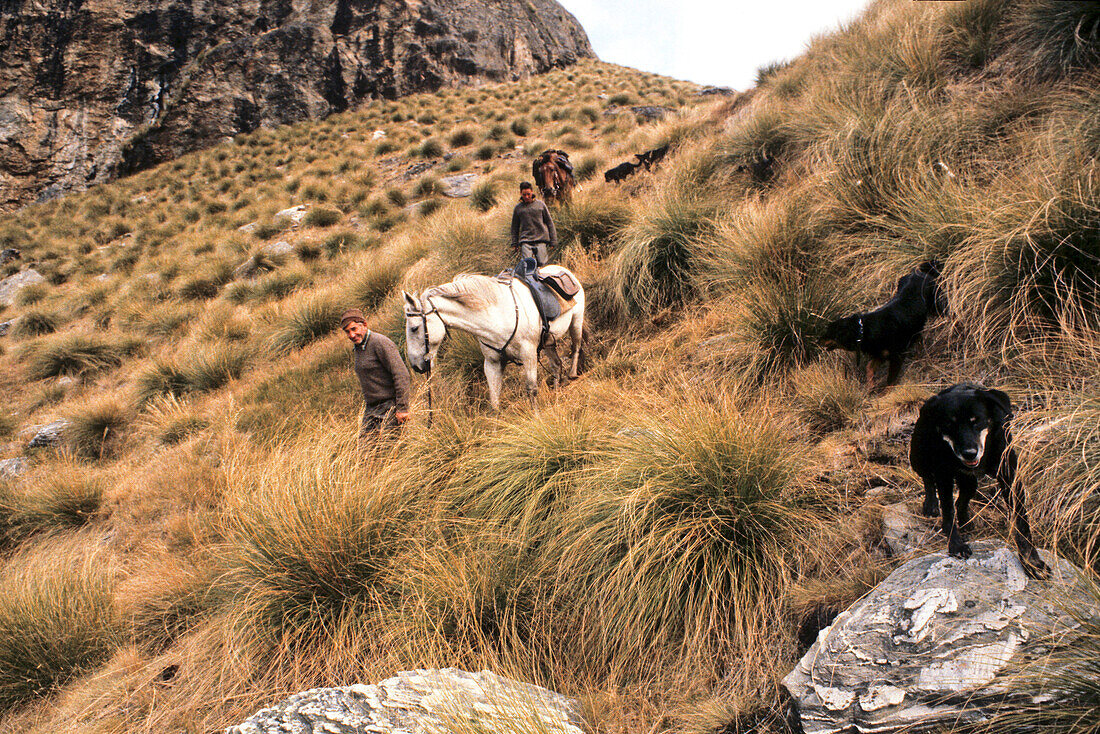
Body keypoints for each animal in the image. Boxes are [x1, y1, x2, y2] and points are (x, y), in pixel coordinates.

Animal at [402, 267, 585, 411]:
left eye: (414, 328)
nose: (416, 366)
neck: (498, 317)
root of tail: (562, 269)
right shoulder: (492, 363)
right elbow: (494, 400)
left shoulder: (529, 356)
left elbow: (531, 390)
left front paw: (536, 418)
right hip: (548, 342)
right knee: (556, 365)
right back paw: (557, 390)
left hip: (576, 323)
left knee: (576, 346)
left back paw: (572, 374)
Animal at [822, 260, 950, 387]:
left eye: (829, 333)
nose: (819, 340)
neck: (864, 329)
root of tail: (921, 272)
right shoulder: (880, 354)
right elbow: (869, 367)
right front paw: (871, 385)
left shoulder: (896, 355)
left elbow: (890, 380)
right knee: (919, 338)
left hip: (937, 305)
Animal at [906, 385, 1051, 581]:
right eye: (949, 425)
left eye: (977, 421)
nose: (969, 453)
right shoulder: (944, 475)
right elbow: (948, 512)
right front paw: (956, 545)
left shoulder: (1010, 477)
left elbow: (1022, 523)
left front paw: (1032, 562)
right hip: (919, 457)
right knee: (928, 479)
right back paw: (931, 505)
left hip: (969, 483)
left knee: (961, 501)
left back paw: (966, 523)